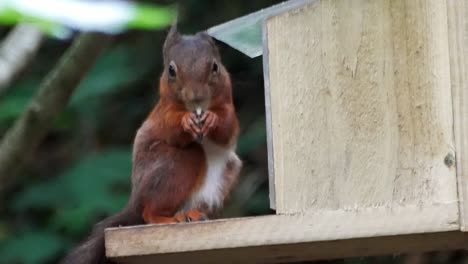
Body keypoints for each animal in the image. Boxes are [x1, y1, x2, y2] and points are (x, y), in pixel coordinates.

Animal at [61, 24, 241, 262]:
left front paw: (213, 119)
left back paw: (192, 214)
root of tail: (135, 200)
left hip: (226, 173)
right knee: (148, 212)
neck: (197, 108)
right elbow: (172, 128)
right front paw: (185, 121)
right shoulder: (164, 112)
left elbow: (228, 128)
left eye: (215, 67)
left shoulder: (228, 105)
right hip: (173, 165)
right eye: (171, 70)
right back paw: (167, 218)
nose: (196, 95)